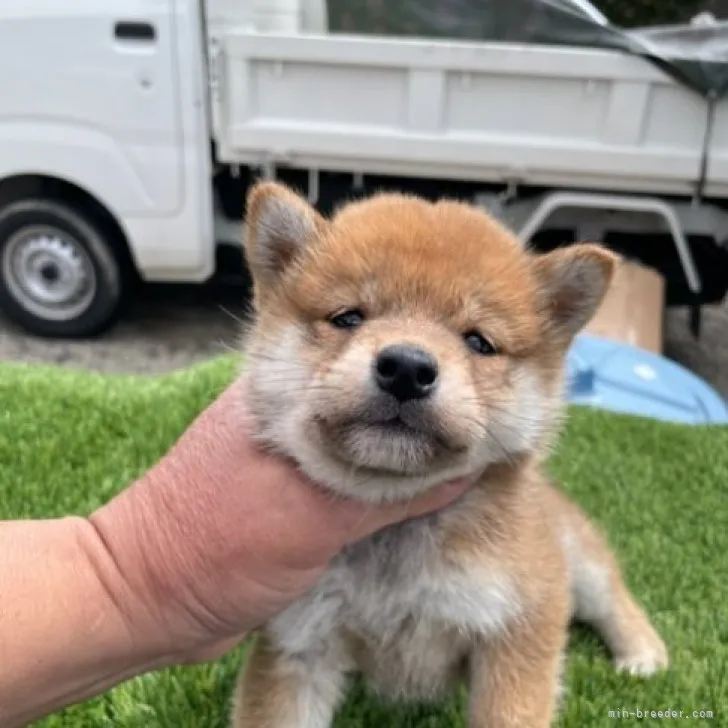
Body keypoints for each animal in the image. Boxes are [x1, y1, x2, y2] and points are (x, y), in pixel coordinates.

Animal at [230, 182, 668, 728]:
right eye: (348, 317)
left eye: (478, 341)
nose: (406, 367)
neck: (395, 531)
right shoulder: (298, 640)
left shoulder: (520, 624)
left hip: (575, 563)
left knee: (613, 594)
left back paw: (642, 652)